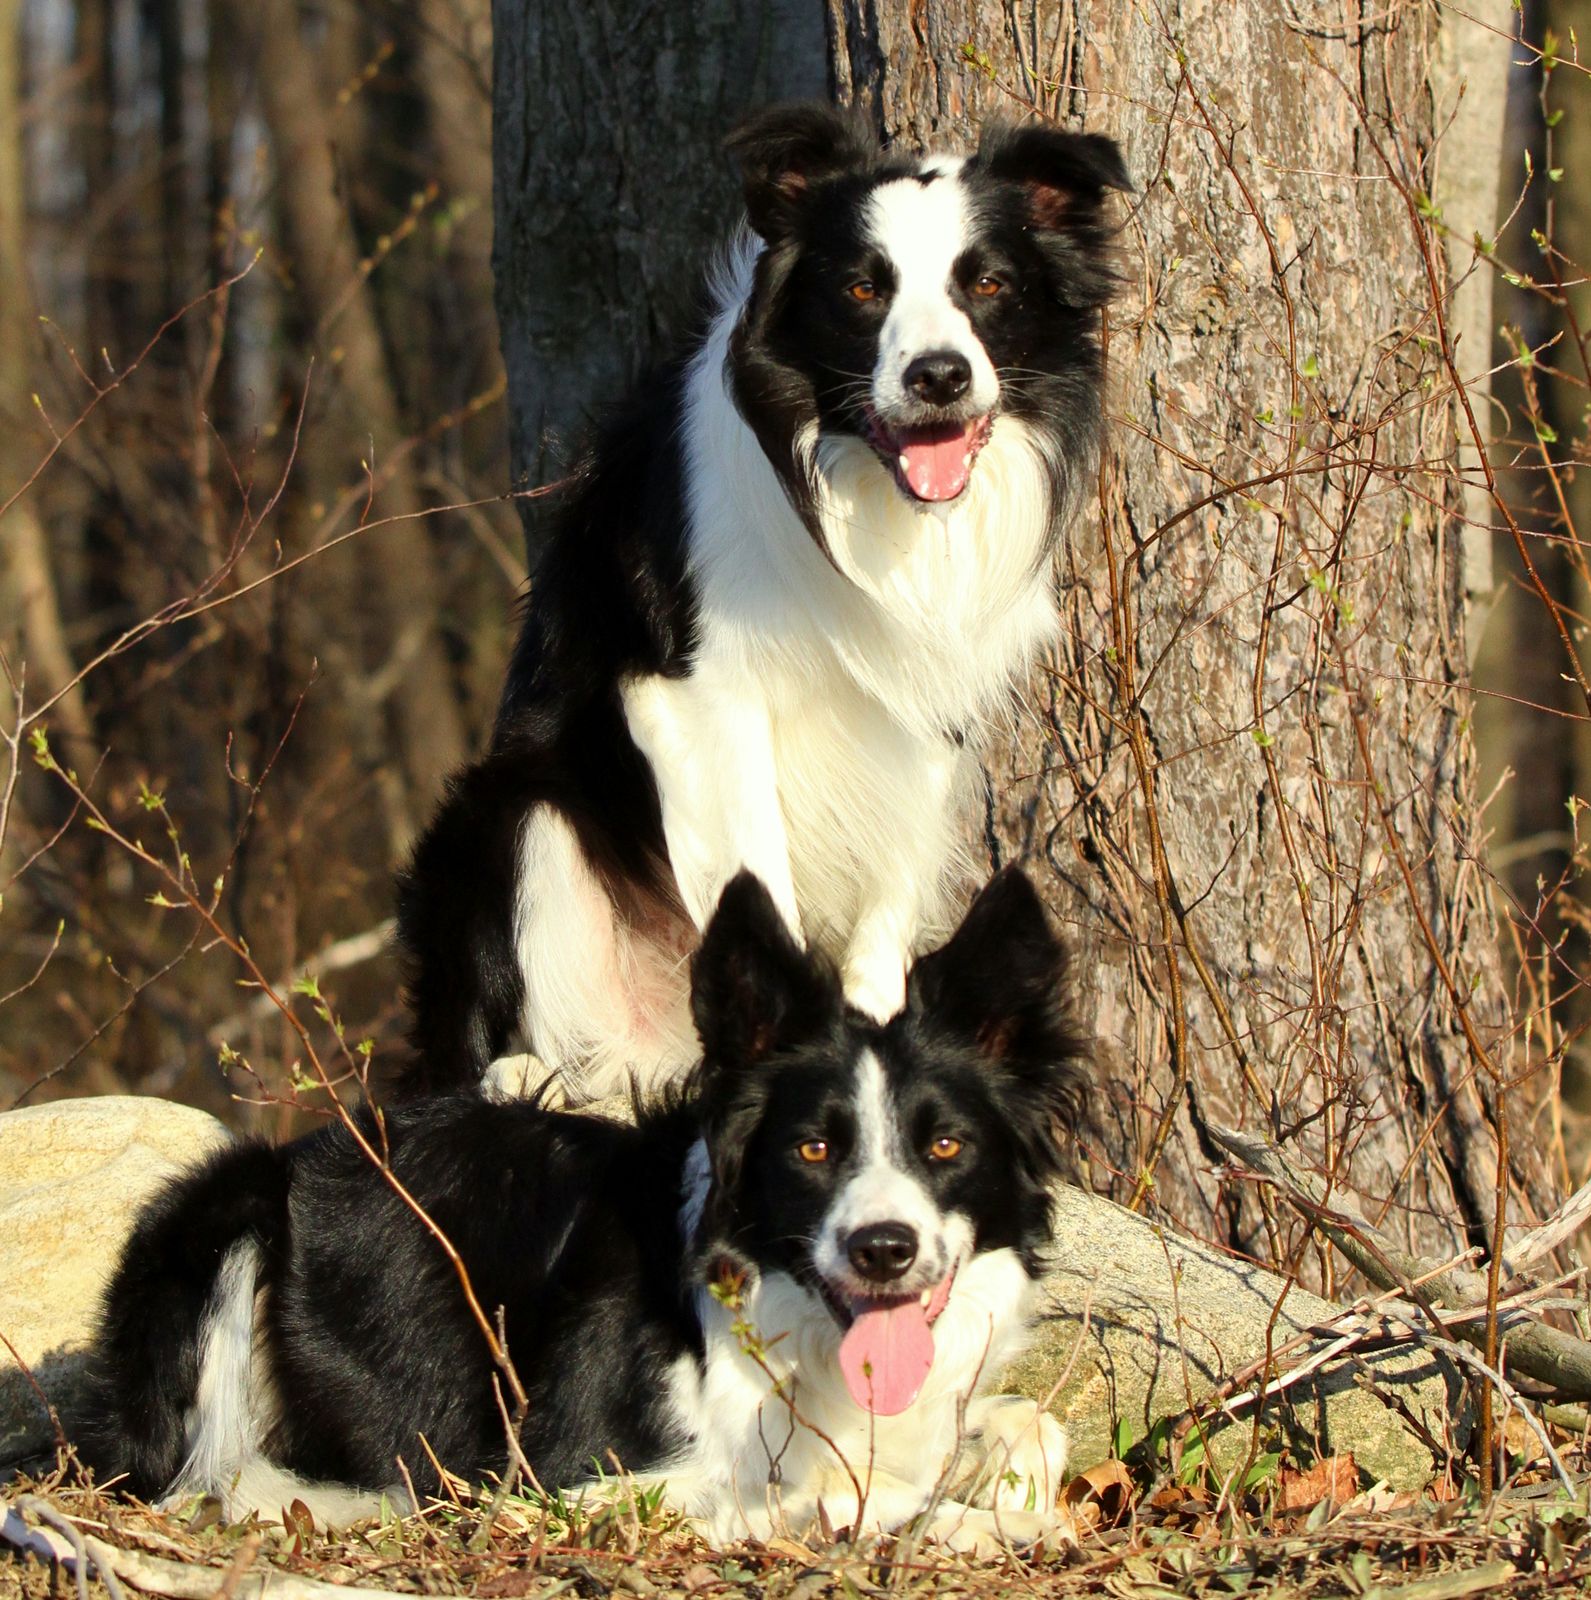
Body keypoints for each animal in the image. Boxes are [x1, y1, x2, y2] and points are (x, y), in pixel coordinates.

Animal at [79, 867, 1089, 1552]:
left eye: (945, 1147)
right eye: (813, 1150)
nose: (884, 1248)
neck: (787, 1319)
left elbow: (1033, 1427)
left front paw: (1000, 1502)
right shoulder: (577, 1477)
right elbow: (801, 1495)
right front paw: (956, 1521)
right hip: (221, 1212)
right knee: (211, 1480)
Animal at [395, 104, 1126, 1100]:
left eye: (987, 283)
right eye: (861, 289)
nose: (937, 376)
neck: (853, 482)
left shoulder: (923, 703)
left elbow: (888, 890)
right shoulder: (698, 698)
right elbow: (758, 887)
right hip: (513, 811)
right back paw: (523, 1073)